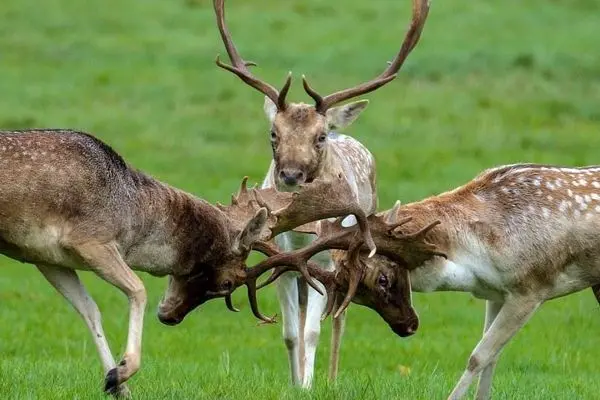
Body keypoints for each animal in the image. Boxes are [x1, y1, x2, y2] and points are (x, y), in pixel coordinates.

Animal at [0, 130, 372, 396]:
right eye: (227, 284)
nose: (172, 318)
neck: (133, 219)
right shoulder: (90, 240)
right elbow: (138, 290)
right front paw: (124, 371)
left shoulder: (48, 257)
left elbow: (89, 310)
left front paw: (116, 383)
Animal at [213, 0, 428, 388]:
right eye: (273, 133)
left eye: (320, 136)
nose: (290, 174)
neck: (301, 238)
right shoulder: (282, 264)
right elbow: (290, 334)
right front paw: (295, 383)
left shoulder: (328, 263)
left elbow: (313, 331)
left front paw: (310, 385)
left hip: (357, 248)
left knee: (340, 317)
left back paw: (331, 376)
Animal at [282, 163, 600, 400]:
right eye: (358, 296)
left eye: (383, 279)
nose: (406, 327)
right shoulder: (497, 293)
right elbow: (492, 359)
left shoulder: (532, 286)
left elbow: (478, 356)